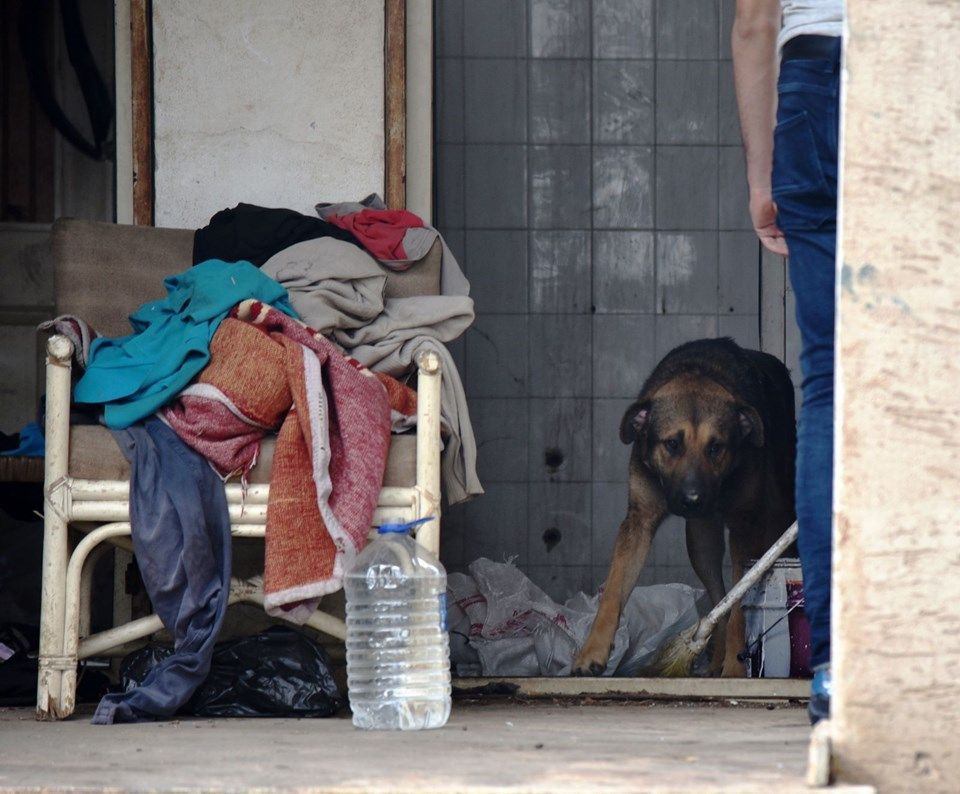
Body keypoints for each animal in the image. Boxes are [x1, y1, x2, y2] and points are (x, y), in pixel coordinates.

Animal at [572, 334, 800, 676]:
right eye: (672, 444)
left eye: (716, 447)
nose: (693, 500)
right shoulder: (638, 522)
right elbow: (613, 590)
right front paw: (592, 651)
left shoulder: (744, 527)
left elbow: (739, 607)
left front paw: (736, 669)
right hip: (700, 542)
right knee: (718, 596)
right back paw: (714, 659)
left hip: (776, 514)